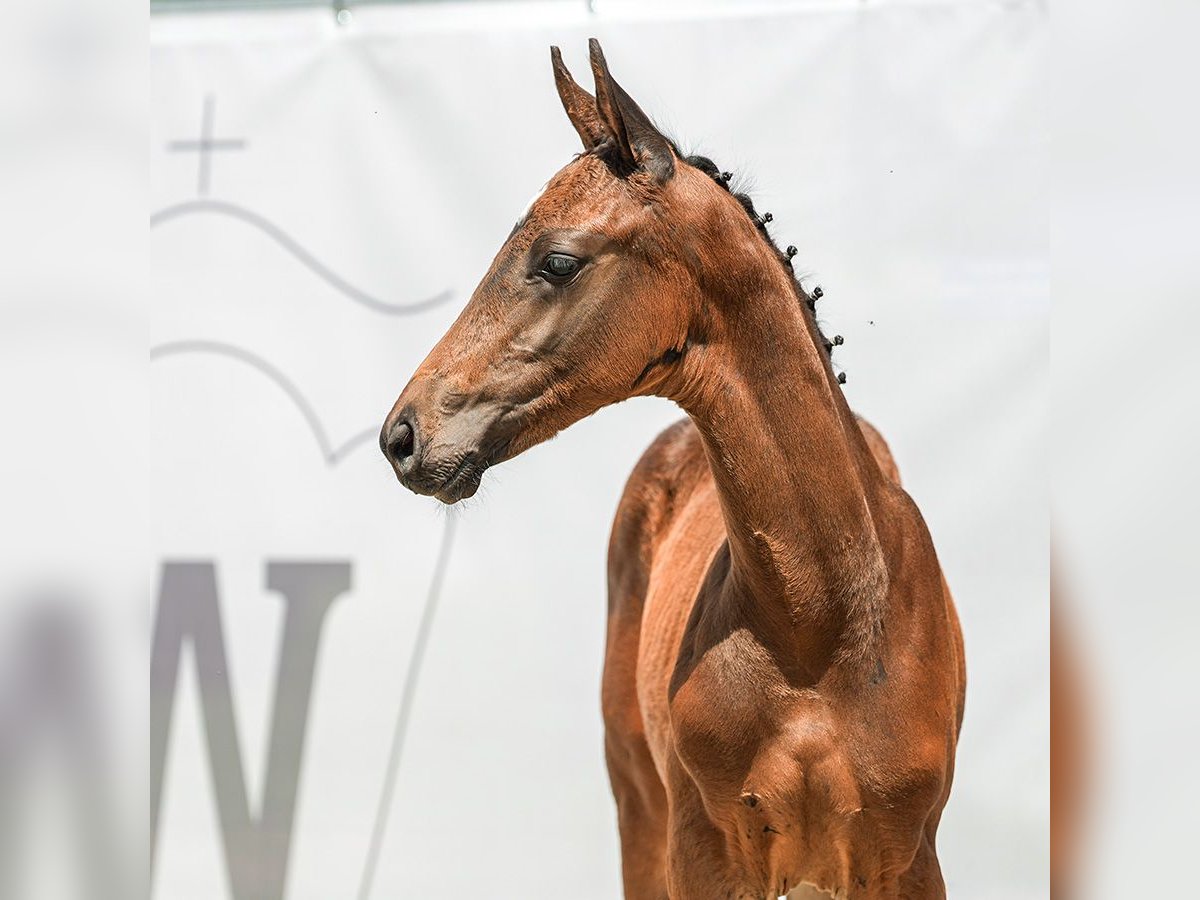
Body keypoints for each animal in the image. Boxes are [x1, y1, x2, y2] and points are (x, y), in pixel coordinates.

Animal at [384, 40, 964, 897]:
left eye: (558, 260)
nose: (402, 434)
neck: (822, 624)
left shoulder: (907, 858)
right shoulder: (705, 847)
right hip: (638, 801)